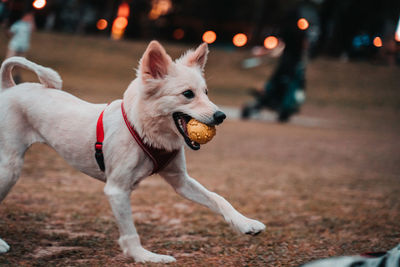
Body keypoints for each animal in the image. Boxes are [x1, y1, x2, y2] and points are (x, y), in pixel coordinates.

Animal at [0, 42, 266, 264]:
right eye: (188, 94)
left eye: (207, 92)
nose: (221, 116)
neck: (144, 129)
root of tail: (11, 88)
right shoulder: (117, 190)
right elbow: (130, 232)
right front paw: (145, 257)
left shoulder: (180, 181)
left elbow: (218, 198)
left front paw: (245, 223)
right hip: (10, 168)